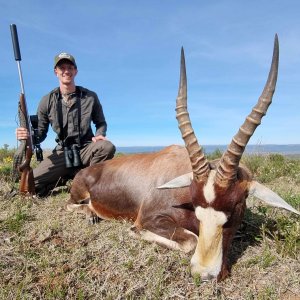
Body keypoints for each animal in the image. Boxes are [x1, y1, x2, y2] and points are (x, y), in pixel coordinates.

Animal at [67, 35, 298, 282]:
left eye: (236, 207)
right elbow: (190, 241)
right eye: (196, 207)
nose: (204, 274)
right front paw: (135, 231)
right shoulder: (150, 217)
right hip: (78, 195)